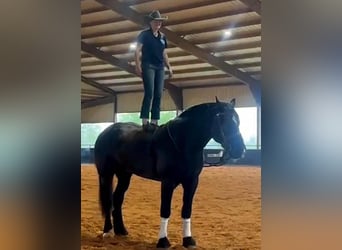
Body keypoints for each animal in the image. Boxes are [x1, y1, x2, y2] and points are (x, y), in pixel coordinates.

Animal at [94, 97, 246, 248]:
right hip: (106, 174)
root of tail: (106, 132)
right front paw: (163, 241)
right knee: (108, 200)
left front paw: (188, 240)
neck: (182, 142)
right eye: (221, 118)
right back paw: (108, 231)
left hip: (125, 175)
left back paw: (121, 230)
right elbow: (165, 210)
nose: (239, 149)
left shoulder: (192, 182)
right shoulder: (168, 182)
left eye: (237, 119)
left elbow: (187, 210)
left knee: (117, 198)